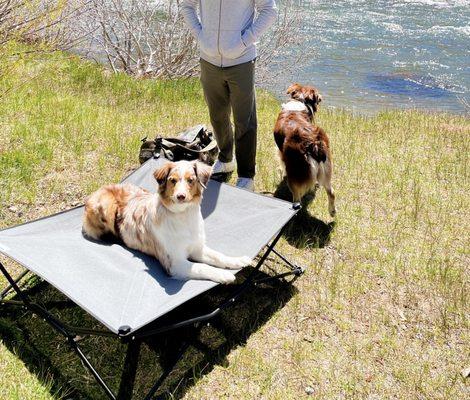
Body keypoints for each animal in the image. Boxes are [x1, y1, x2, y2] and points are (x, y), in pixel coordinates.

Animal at [82, 159, 252, 284]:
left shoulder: (197, 248)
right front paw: (223, 275)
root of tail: (94, 192)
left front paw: (237, 260)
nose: (180, 196)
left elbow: (218, 256)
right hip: (106, 204)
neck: (183, 216)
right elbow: (201, 267)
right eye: (172, 180)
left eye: (191, 180)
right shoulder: (175, 263)